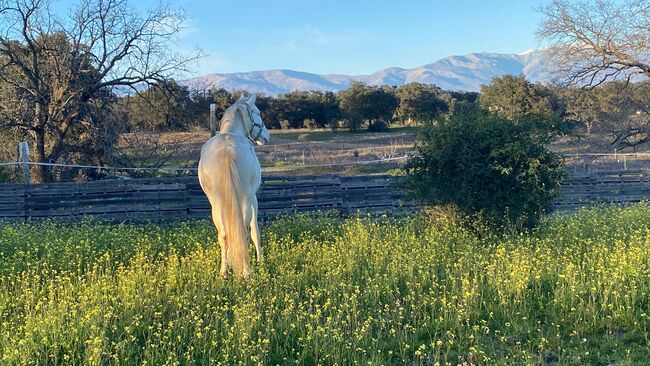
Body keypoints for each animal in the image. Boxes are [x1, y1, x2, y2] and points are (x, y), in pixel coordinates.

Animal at [196, 93, 270, 278]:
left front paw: (229, 263)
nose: (267, 136)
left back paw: (224, 272)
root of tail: (227, 151)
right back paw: (246, 272)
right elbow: (255, 232)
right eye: (258, 112)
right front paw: (261, 261)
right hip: (246, 199)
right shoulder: (254, 199)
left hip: (216, 203)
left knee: (224, 234)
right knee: (244, 232)